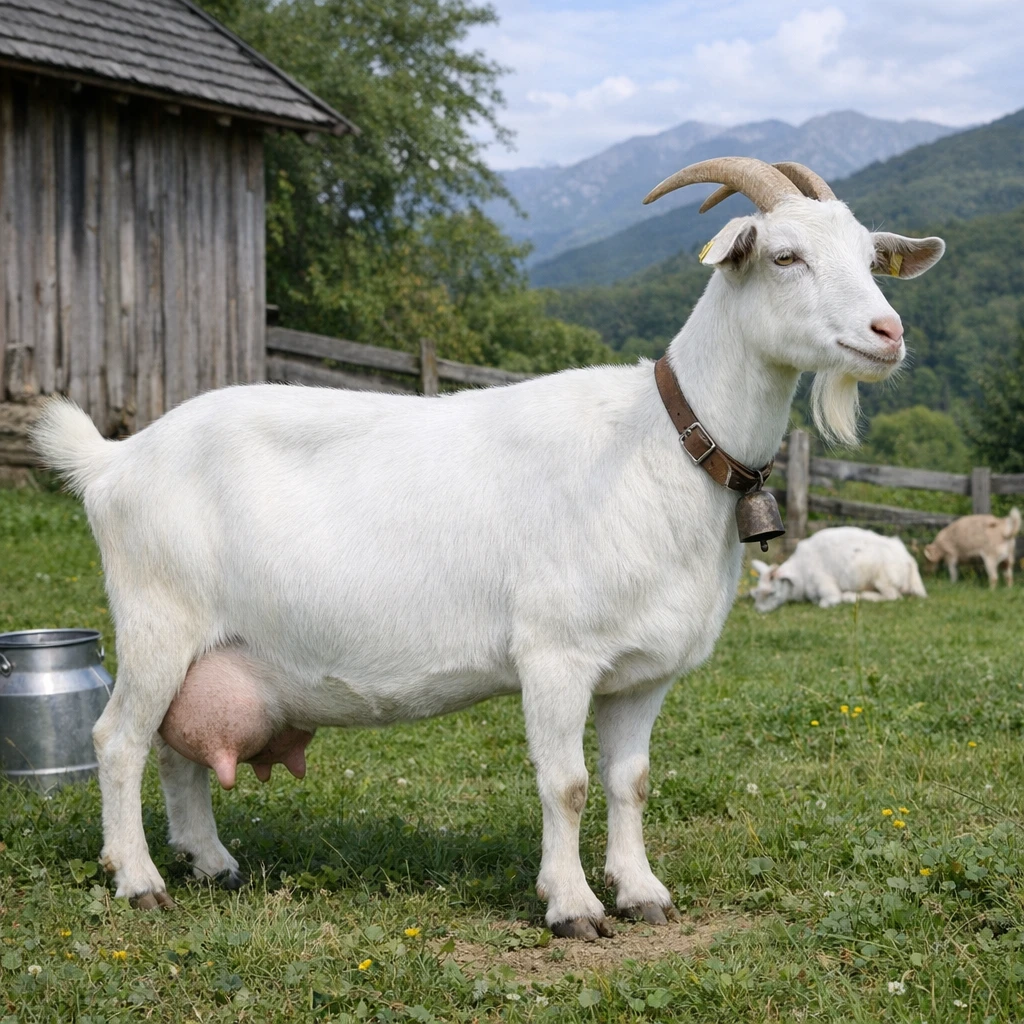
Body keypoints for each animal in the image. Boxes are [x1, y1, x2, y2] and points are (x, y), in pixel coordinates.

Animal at [750, 527, 927, 612]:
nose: (758, 611)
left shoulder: (827, 588)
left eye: (772, 593)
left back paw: (851, 596)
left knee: (893, 597)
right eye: (756, 592)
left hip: (883, 579)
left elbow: (826, 602)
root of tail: (909, 559)